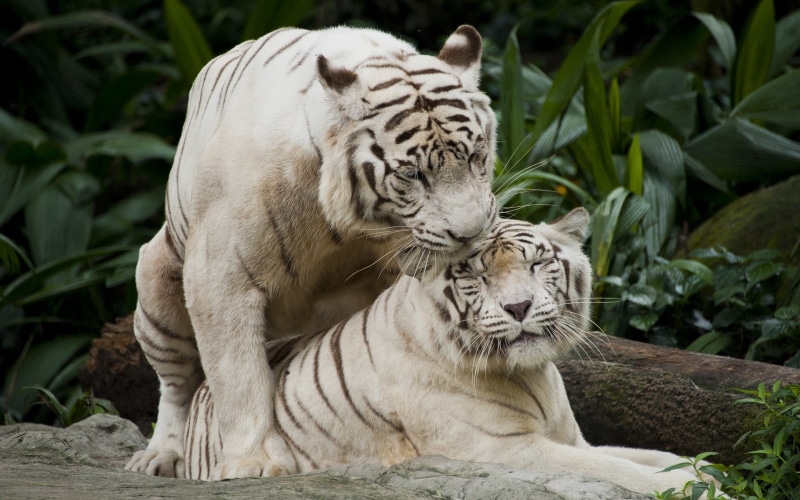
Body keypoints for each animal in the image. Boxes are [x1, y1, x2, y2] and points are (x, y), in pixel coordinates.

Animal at [126, 25, 498, 480]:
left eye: (476, 156)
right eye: (413, 174)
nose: (470, 233)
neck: (350, 226)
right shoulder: (220, 277)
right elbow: (237, 376)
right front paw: (253, 463)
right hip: (157, 279)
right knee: (177, 384)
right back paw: (162, 456)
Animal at [182, 209, 703, 495]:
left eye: (537, 264)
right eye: (476, 276)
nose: (518, 307)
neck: (531, 373)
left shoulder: (574, 440)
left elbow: (649, 456)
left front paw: (703, 471)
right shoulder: (502, 450)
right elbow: (617, 471)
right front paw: (691, 487)